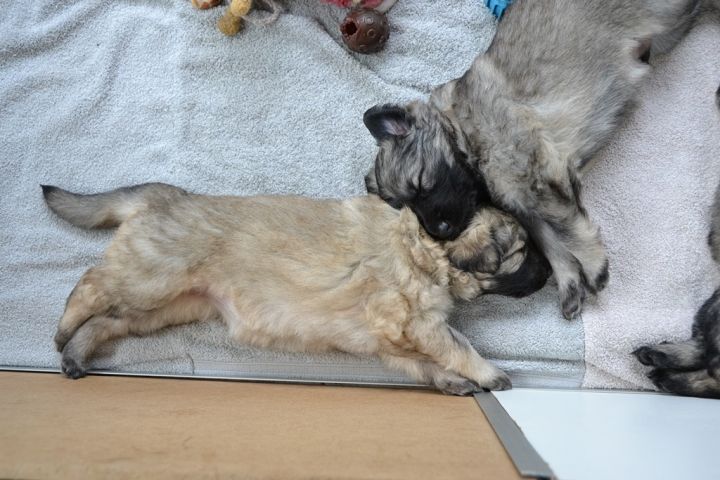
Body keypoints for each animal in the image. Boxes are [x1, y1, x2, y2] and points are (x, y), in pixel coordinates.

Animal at [42, 183, 551, 395]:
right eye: (522, 251)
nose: (549, 274)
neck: (420, 247)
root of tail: (163, 195)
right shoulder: (417, 322)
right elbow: (460, 346)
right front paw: (489, 374)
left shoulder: (394, 339)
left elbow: (426, 361)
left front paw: (451, 382)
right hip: (151, 277)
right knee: (89, 284)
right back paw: (62, 332)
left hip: (165, 308)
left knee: (107, 322)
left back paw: (75, 355)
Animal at [363, 0, 718, 319]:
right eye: (405, 206)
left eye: (422, 183)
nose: (442, 231)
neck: (461, 128)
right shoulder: (524, 199)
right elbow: (550, 241)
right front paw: (570, 281)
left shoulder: (538, 180)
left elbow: (567, 229)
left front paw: (594, 265)